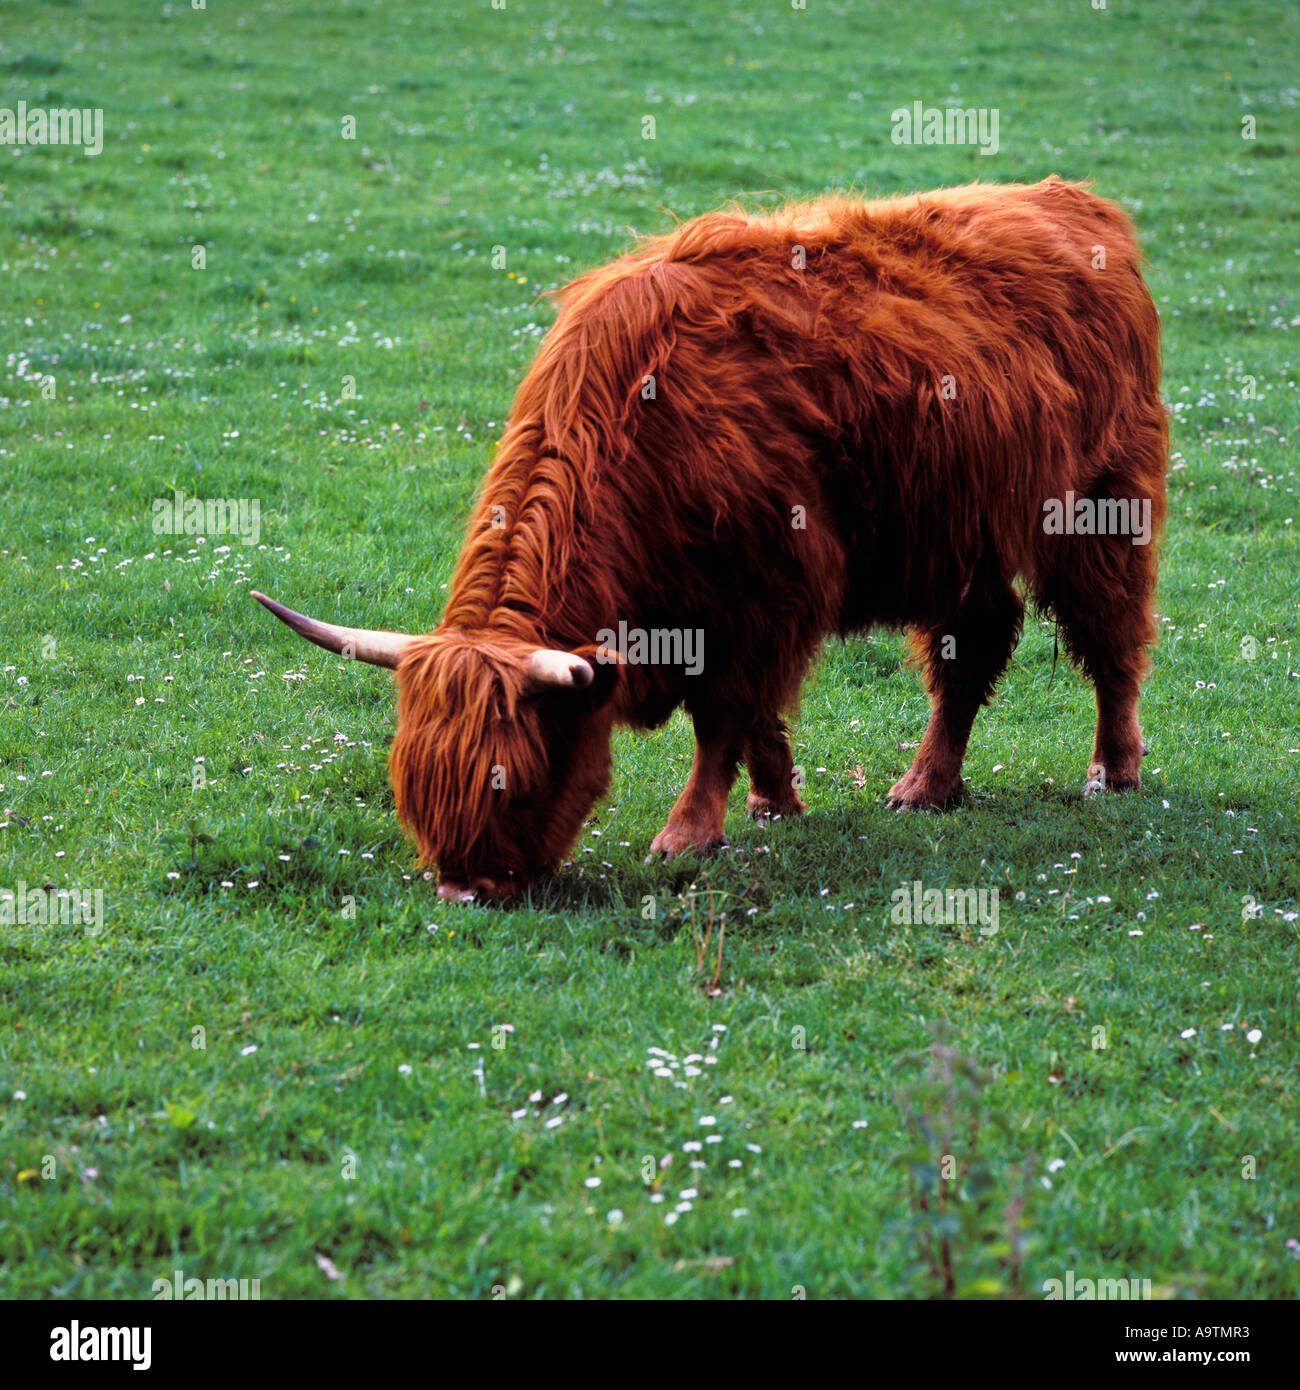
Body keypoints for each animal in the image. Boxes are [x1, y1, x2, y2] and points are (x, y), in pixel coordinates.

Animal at [252, 176, 1168, 901]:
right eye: (413, 788)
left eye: (511, 785)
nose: (462, 892)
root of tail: (1073, 201)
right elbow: (755, 717)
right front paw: (775, 801)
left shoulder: (765, 588)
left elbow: (723, 712)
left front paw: (691, 832)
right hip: (959, 536)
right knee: (974, 642)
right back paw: (924, 784)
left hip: (1103, 503)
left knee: (1111, 636)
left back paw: (1113, 769)